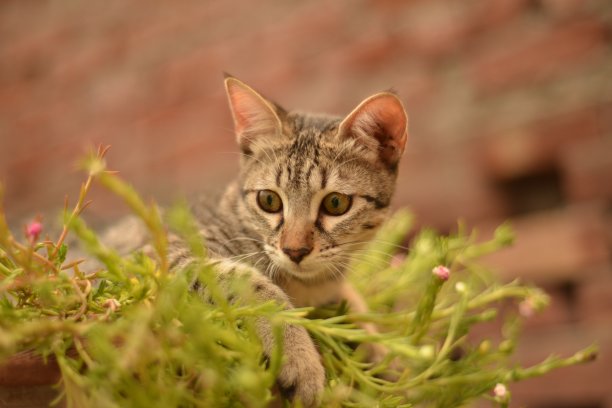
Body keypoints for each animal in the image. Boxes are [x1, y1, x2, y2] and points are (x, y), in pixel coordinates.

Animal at [106, 75, 412, 404]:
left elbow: (356, 304)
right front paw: (299, 357)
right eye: (269, 200)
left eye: (335, 204)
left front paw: (383, 352)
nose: (294, 250)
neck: (309, 286)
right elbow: (252, 284)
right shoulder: (159, 254)